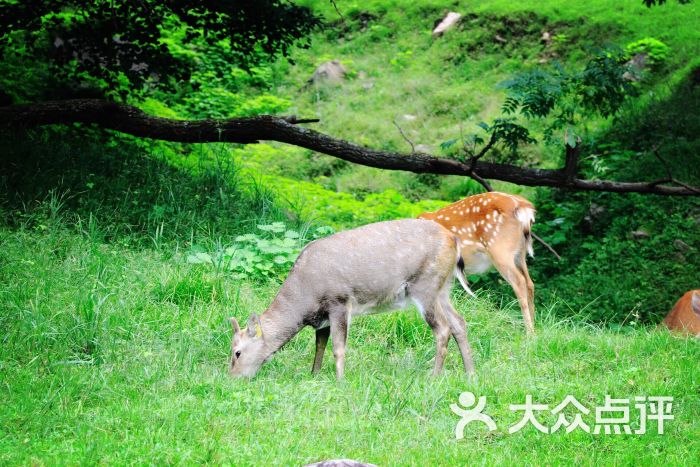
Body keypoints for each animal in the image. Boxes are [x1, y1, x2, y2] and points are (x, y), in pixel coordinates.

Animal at [230, 219, 476, 380]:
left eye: (237, 352)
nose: (232, 377)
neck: (306, 297)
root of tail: (454, 241)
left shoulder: (339, 301)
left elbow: (338, 347)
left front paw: (340, 380)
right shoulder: (323, 317)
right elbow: (320, 345)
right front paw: (314, 374)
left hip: (426, 286)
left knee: (443, 328)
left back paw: (434, 376)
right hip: (443, 289)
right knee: (459, 322)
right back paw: (470, 373)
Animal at [422, 192, 536, 334]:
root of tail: (523, 206)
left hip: (500, 249)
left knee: (519, 281)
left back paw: (529, 333)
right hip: (519, 253)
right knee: (529, 282)